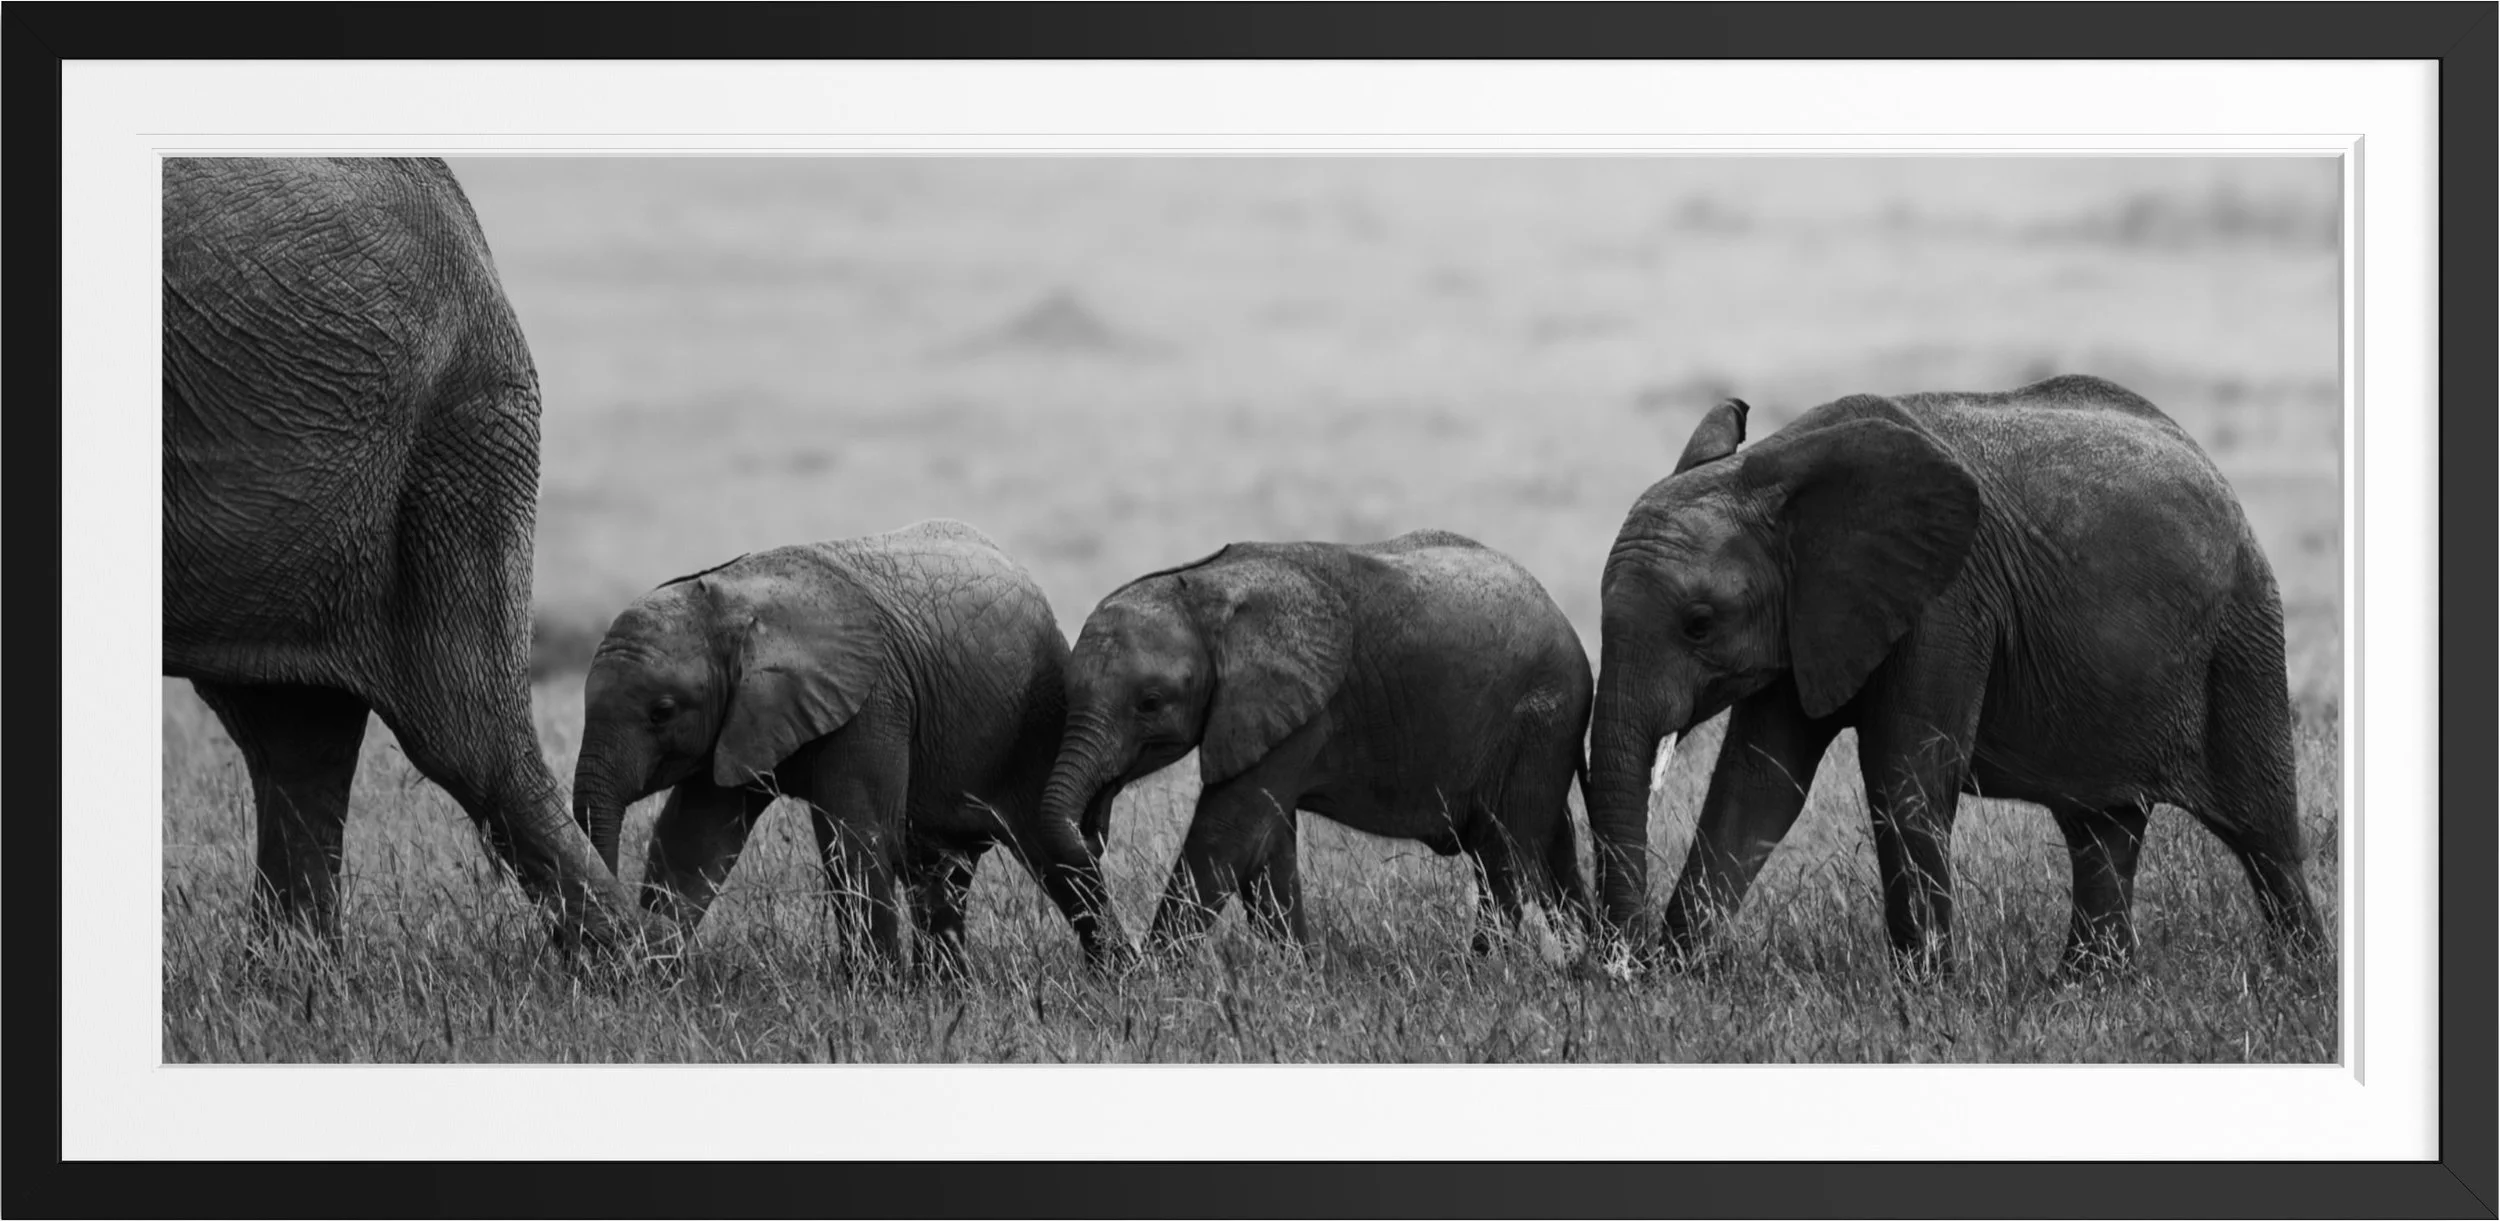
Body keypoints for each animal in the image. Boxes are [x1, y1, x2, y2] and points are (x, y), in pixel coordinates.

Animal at [569, 519, 1125, 975]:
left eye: (661, 711)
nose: (610, 949)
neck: (734, 603)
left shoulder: (871, 700)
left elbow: (856, 835)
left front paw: (876, 992)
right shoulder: (736, 722)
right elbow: (693, 839)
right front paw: (651, 973)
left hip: (1035, 720)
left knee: (1054, 853)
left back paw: (1114, 976)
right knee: (943, 869)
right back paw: (947, 992)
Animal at [1036, 530, 1595, 963]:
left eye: (1150, 703)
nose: (1093, 828)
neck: (1205, 590)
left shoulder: (1301, 710)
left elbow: (1225, 833)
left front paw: (1150, 983)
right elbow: (1268, 848)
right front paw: (1302, 975)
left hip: (1540, 715)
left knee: (1505, 853)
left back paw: (1479, 970)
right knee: (1549, 841)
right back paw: (1588, 964)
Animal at [1584, 375, 2326, 978]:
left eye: (1698, 623)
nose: (1621, 966)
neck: (1768, 470)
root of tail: (2208, 462)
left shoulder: (1945, 602)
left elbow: (1904, 775)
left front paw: (1928, 990)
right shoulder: (1812, 614)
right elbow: (1759, 780)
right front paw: (1678, 976)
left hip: (2241, 636)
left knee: (2262, 831)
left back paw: (2302, 977)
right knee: (2101, 829)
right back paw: (2086, 985)